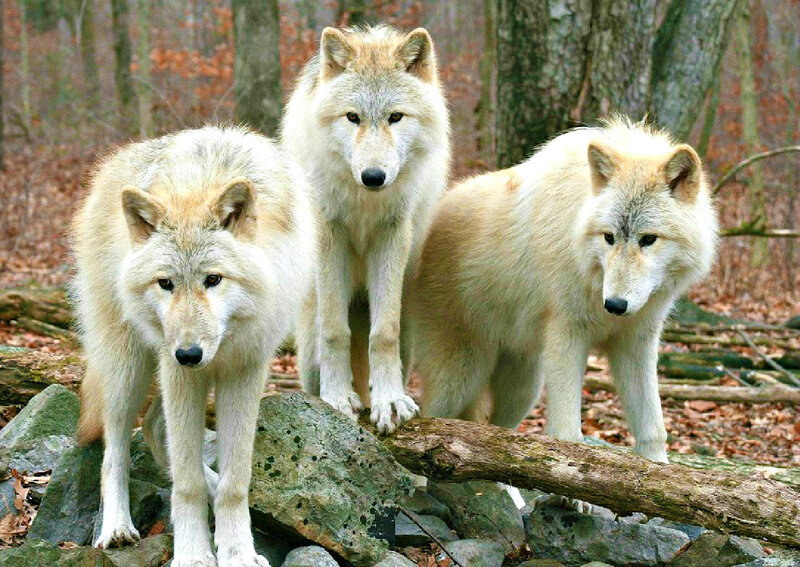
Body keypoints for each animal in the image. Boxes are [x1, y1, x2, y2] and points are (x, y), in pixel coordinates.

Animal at [73, 126, 315, 566]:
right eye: (166, 283)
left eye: (213, 279)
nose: (189, 354)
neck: (201, 181)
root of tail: (107, 171)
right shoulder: (178, 373)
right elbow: (186, 486)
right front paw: (193, 554)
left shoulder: (244, 372)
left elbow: (236, 482)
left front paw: (238, 553)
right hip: (129, 370)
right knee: (115, 447)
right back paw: (116, 527)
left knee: (155, 428)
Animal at [281, 25, 450, 433]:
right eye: (352, 117)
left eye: (396, 117)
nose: (374, 176)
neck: (364, 201)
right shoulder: (330, 235)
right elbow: (335, 331)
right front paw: (337, 399)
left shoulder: (392, 235)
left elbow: (383, 334)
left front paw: (389, 402)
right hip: (307, 344)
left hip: (408, 327)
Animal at [413, 118, 717, 481]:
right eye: (609, 237)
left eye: (648, 239)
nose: (615, 305)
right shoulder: (566, 335)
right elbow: (566, 433)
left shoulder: (636, 342)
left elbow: (653, 427)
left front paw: (660, 473)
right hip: (460, 377)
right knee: (430, 418)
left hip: (524, 387)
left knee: (497, 436)